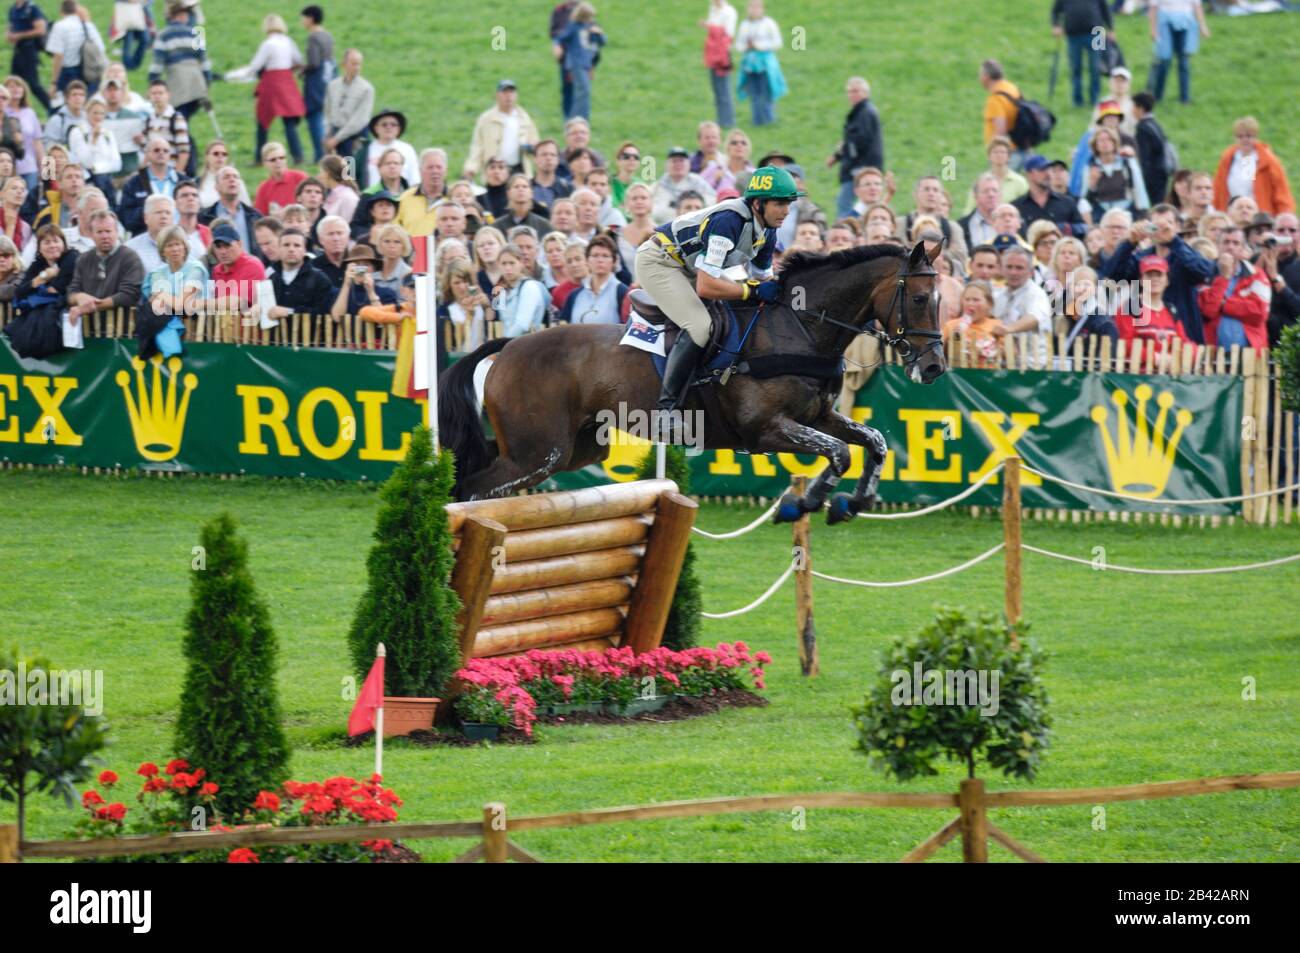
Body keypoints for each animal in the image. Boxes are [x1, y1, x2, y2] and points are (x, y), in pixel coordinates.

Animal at [436, 237, 946, 520]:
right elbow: (838, 453)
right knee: (476, 488)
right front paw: (804, 503)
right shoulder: (767, 429)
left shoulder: (819, 416)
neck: (800, 326)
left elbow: (874, 442)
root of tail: (508, 347)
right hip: (539, 452)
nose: (935, 368)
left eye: (941, 298)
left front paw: (852, 504)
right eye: (920, 298)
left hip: (573, 449)